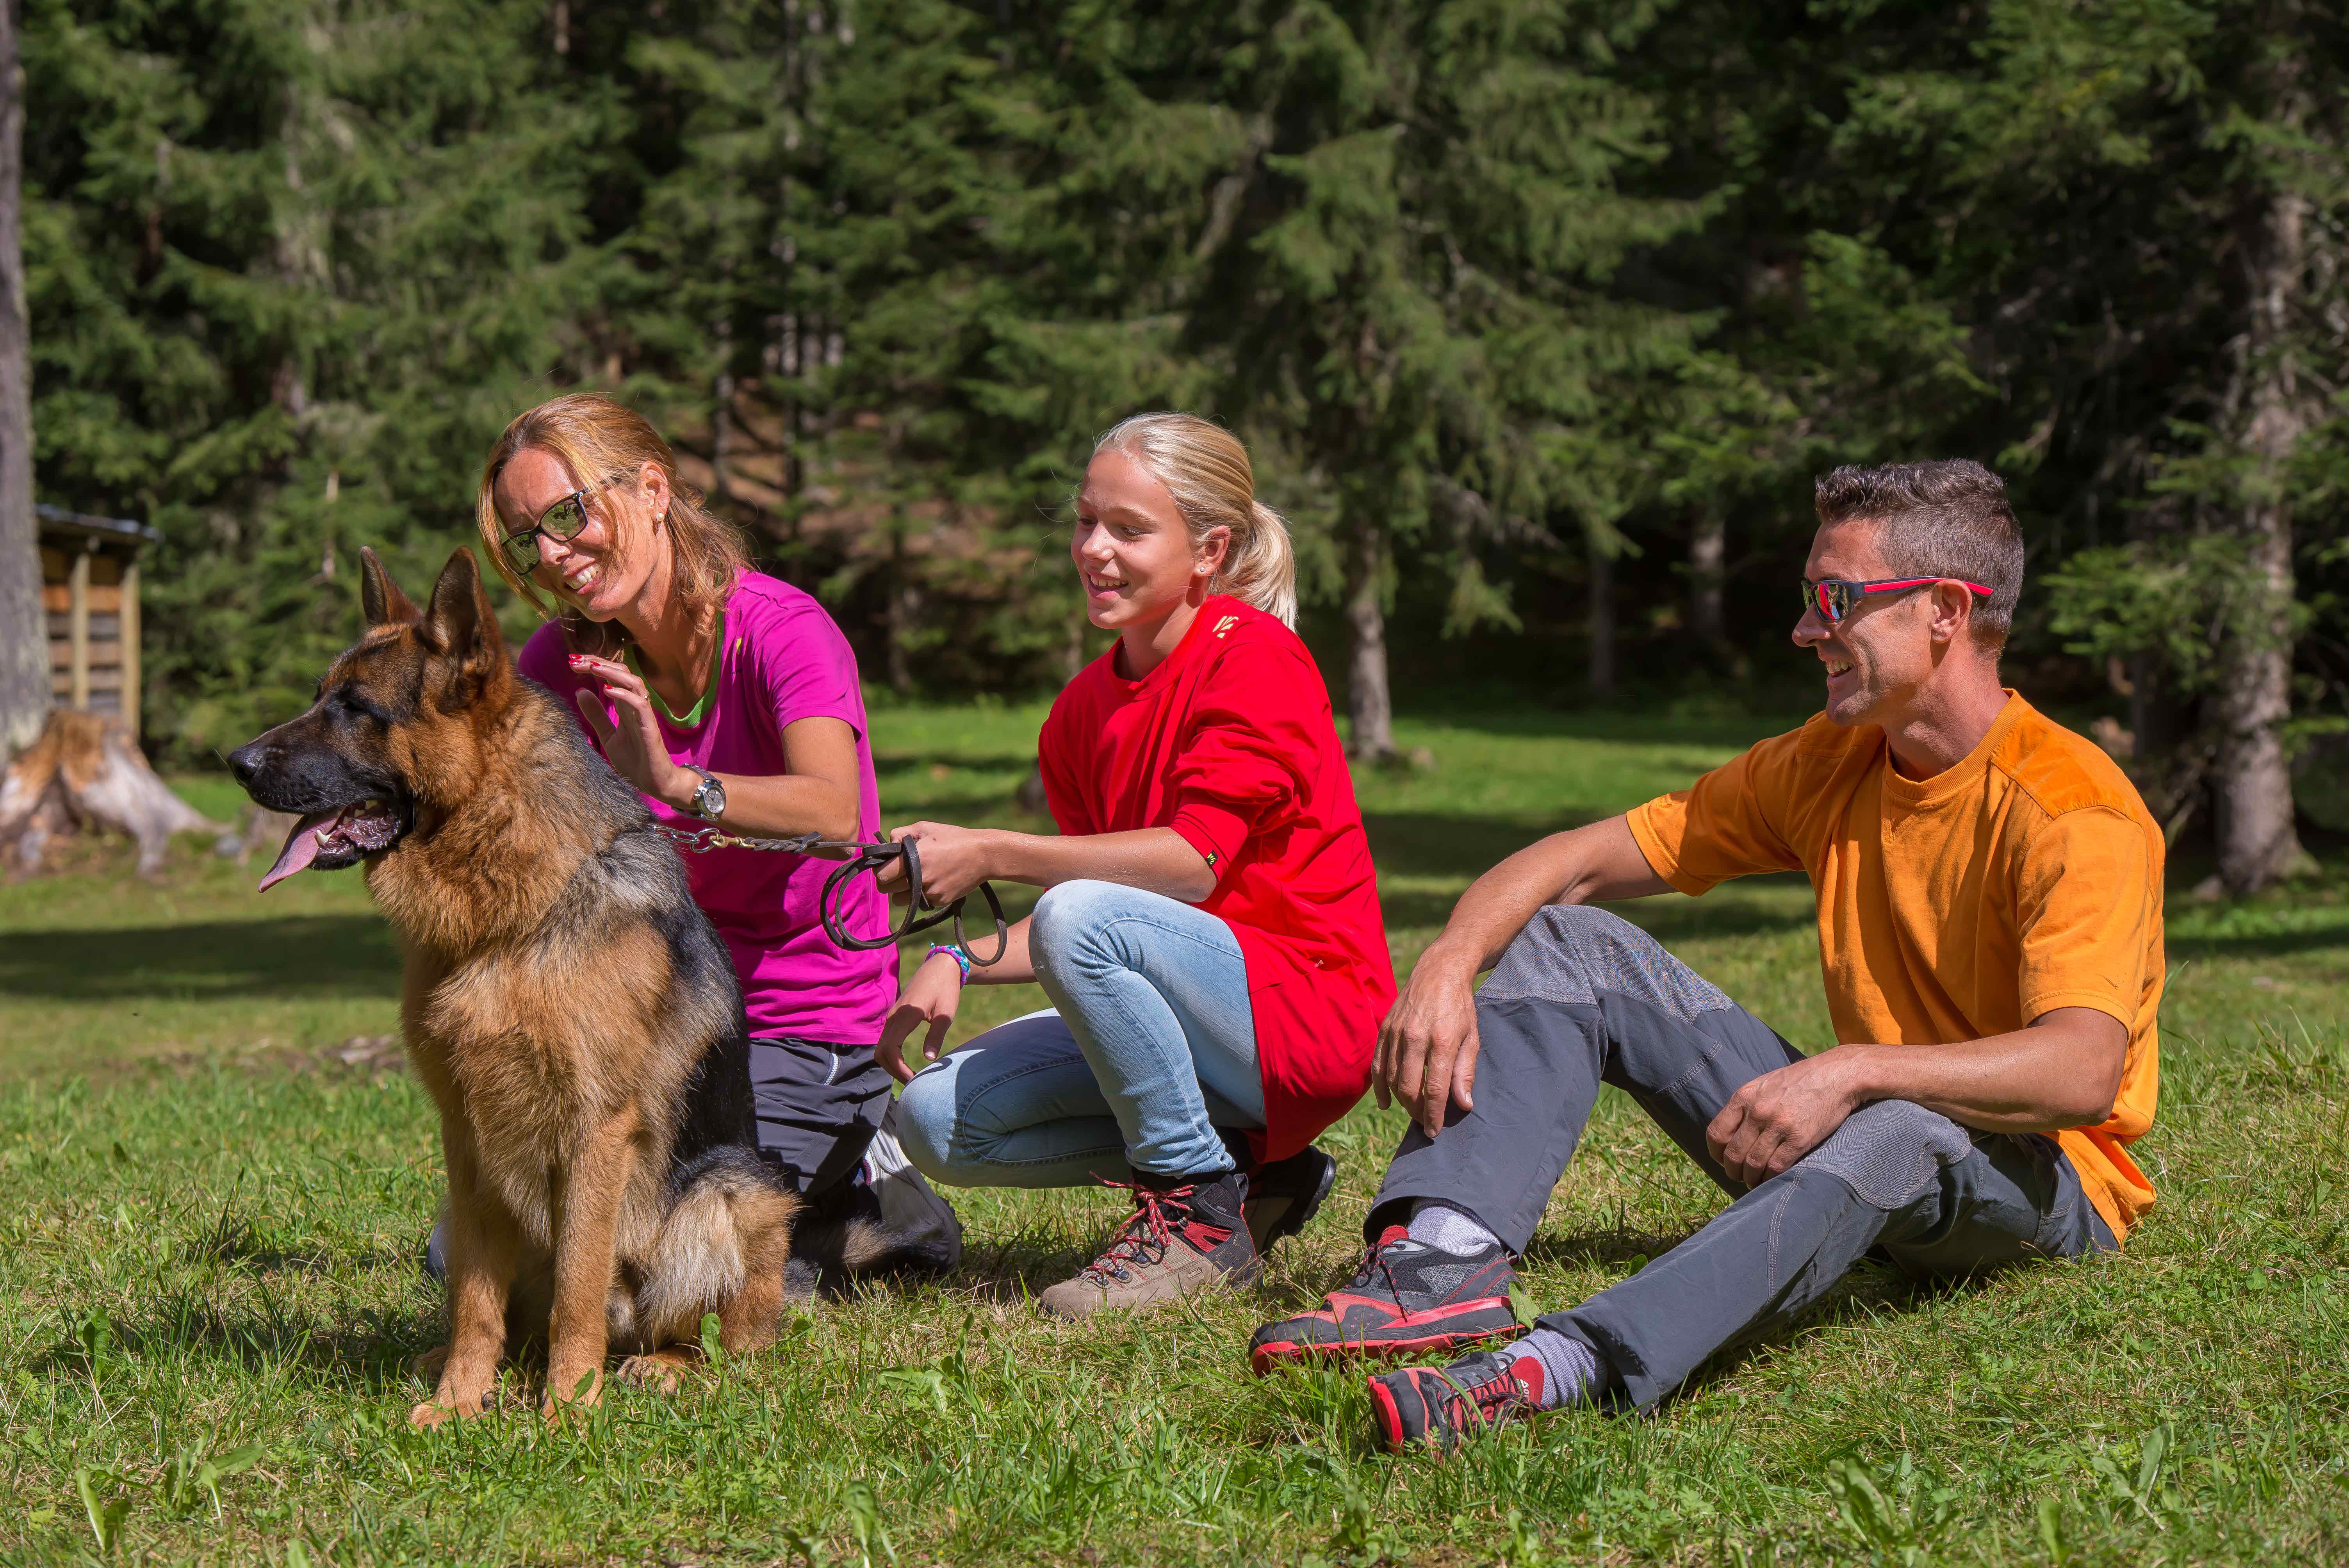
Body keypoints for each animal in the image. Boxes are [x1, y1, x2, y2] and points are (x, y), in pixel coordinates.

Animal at [229, 544, 798, 1427]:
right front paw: (459, 1400)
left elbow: (578, 1286)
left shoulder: (595, 1132)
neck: (511, 918)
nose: (236, 763)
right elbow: (474, 1296)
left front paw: (565, 1412)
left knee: (717, 1343)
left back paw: (658, 1370)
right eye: (321, 696)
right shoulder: (464, 1136)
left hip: (738, 1192)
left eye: (356, 709)